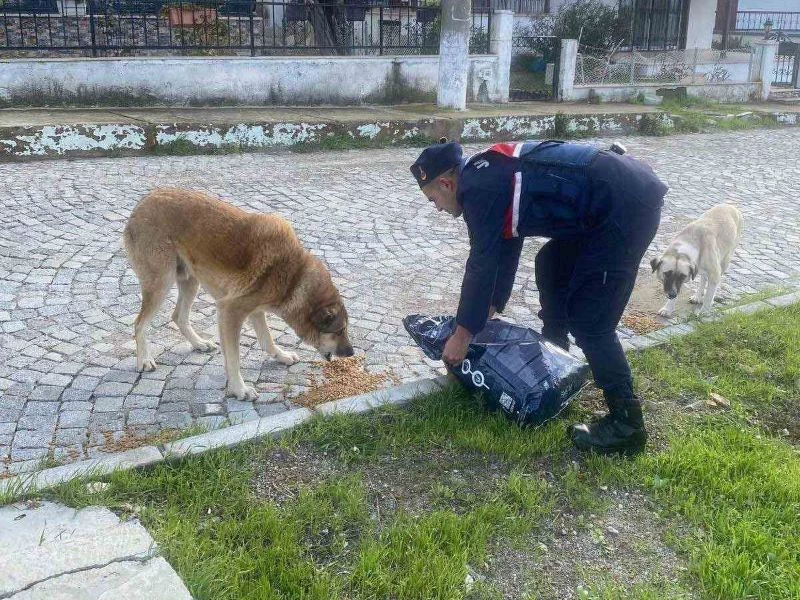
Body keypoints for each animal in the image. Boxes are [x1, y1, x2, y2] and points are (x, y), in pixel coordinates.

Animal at [123, 190, 352, 400]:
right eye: (339, 330)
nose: (351, 353)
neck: (293, 276)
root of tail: (141, 204)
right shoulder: (230, 311)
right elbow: (234, 358)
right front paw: (239, 389)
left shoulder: (255, 311)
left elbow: (267, 340)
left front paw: (281, 356)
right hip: (161, 283)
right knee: (139, 323)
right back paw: (144, 360)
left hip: (190, 281)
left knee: (178, 316)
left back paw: (199, 343)